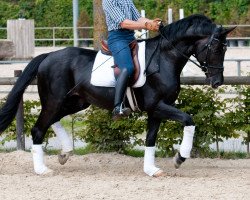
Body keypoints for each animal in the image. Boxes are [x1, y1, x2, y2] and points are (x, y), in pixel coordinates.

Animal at [0, 14, 234, 176]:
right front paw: (180, 158)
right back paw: (42, 170)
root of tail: (48, 55)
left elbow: (150, 139)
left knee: (52, 121)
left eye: (225, 49)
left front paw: (151, 170)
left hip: (76, 101)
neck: (165, 58)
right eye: (215, 48)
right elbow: (189, 120)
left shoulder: (157, 110)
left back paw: (65, 152)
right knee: (39, 128)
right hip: (55, 100)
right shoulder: (157, 106)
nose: (217, 82)